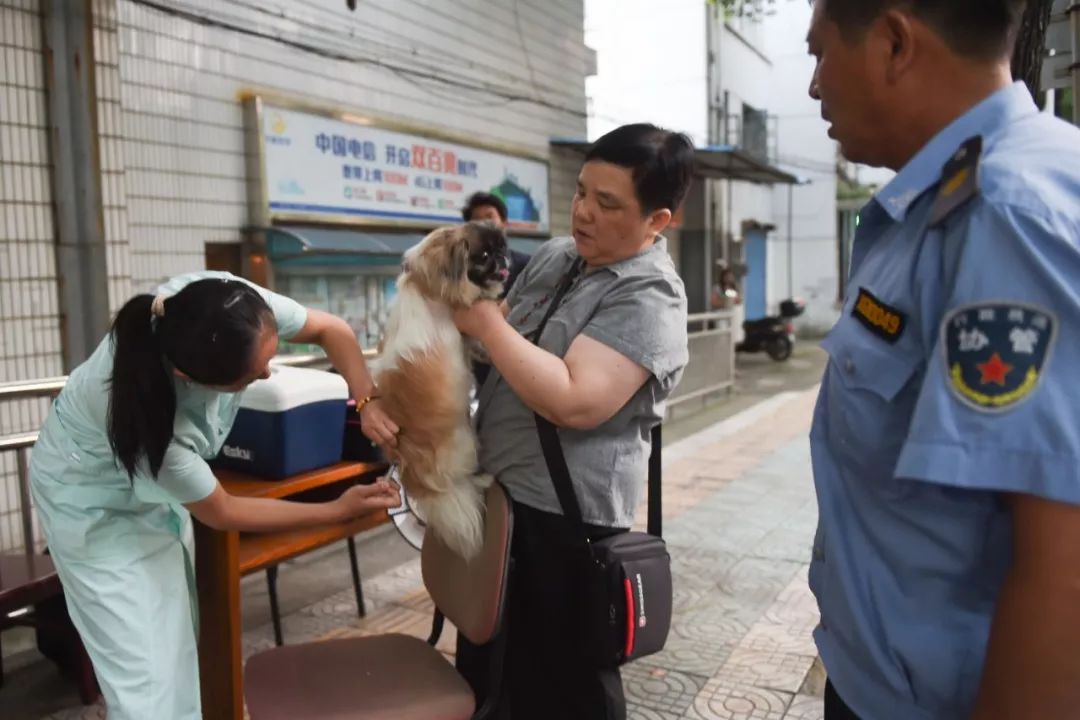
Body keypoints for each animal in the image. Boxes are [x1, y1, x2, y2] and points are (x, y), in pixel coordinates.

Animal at [375, 222, 509, 561]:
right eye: (484, 256)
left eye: (502, 248)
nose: (504, 259)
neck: (428, 289)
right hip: (465, 443)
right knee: (462, 479)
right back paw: (484, 478)